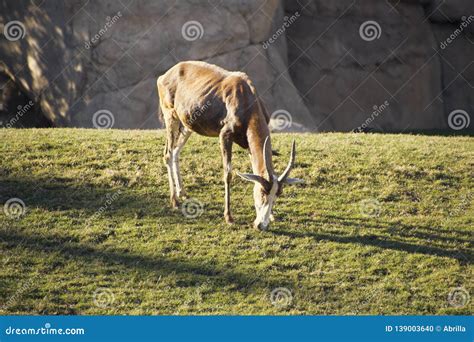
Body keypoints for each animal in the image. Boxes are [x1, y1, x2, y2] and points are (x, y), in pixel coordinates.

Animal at [157, 61, 302, 230]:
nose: (261, 225)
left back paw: (182, 193)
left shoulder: (248, 145)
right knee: (167, 154)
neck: (245, 95)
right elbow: (228, 174)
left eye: (276, 194)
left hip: (187, 125)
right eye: (262, 192)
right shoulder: (225, 135)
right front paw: (229, 217)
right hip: (171, 117)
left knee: (175, 151)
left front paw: (272, 216)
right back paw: (174, 201)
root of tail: (166, 74)